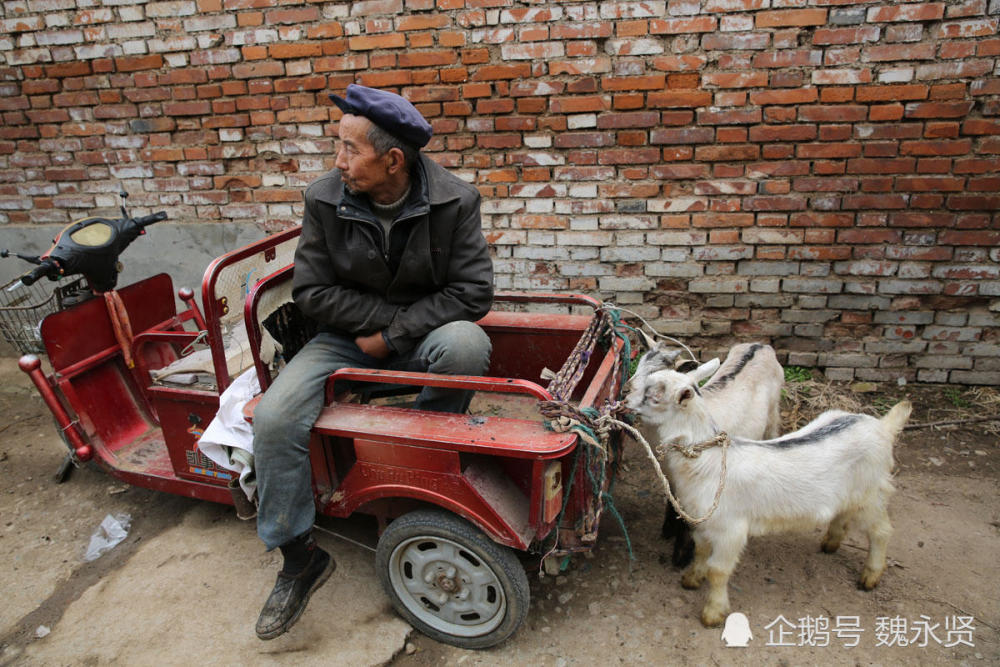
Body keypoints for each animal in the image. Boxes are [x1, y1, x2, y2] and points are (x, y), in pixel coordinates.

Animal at [628, 334, 784, 568]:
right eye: (639, 365)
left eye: (657, 388)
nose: (626, 397)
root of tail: (760, 345)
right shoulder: (671, 474)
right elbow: (672, 500)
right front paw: (668, 530)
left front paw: (682, 556)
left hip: (773, 413)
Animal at [628, 368, 912, 628]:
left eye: (655, 397)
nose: (626, 398)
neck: (708, 462)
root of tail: (883, 427)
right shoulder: (702, 521)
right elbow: (700, 551)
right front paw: (691, 580)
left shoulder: (730, 529)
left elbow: (718, 571)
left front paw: (713, 613)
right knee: (843, 513)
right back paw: (830, 543)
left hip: (871, 493)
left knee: (882, 531)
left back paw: (870, 577)